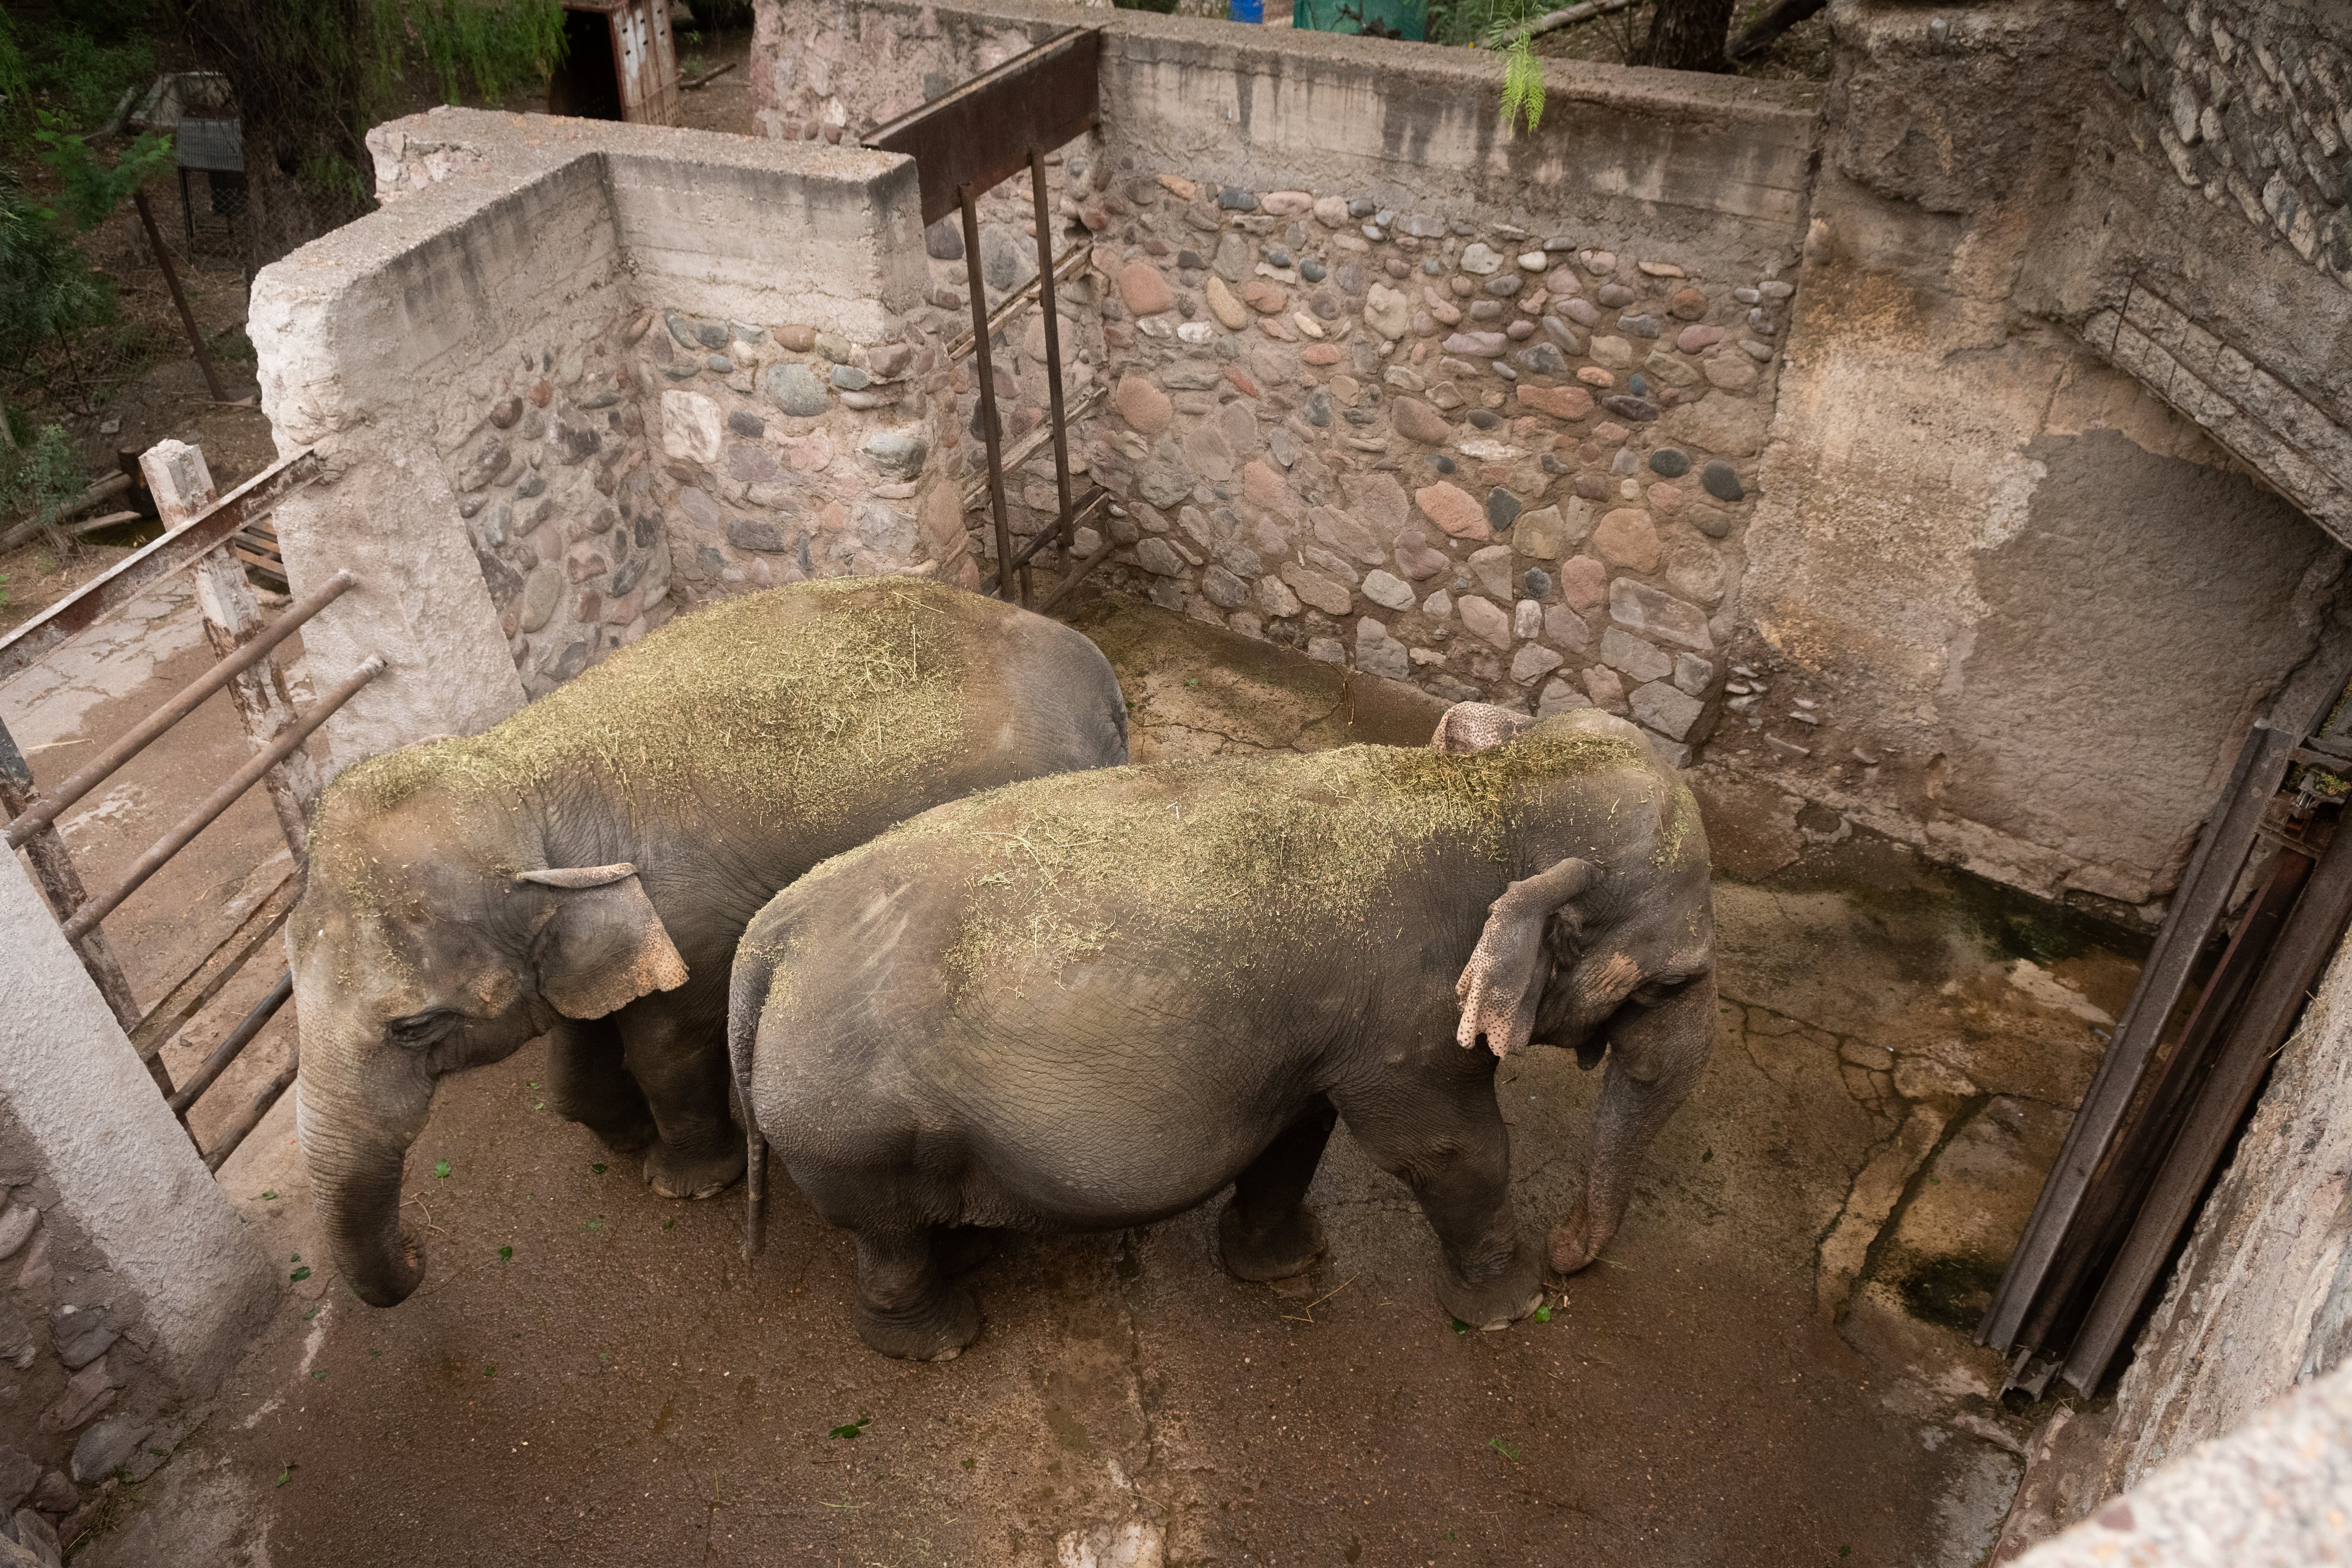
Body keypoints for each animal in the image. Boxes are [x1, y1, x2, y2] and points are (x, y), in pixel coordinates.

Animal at [289, 581, 1134, 1316]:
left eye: (413, 1027)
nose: (421, 1250)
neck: (519, 773)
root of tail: (1100, 675)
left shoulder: (689, 918)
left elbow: (669, 1043)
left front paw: (682, 1183)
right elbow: (578, 1038)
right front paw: (623, 1136)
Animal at [724, 700, 1722, 1363]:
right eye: (1676, 978)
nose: (1568, 1254)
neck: (1486, 793)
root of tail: (771, 935)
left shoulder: (1327, 1028)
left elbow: (1301, 1126)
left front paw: (1285, 1266)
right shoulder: (1411, 1016)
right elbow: (1448, 1148)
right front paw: (1511, 1310)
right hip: (852, 1128)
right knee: (884, 1232)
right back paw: (939, 1340)